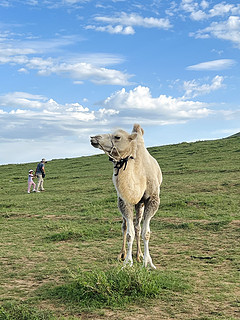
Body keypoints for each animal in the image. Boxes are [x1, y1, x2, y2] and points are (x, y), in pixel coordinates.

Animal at [91, 124, 162, 268]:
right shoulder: (124, 201)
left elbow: (145, 232)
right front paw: (128, 262)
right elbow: (129, 233)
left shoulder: (152, 200)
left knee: (138, 227)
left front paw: (148, 262)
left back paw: (139, 255)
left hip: (140, 204)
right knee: (125, 226)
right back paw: (122, 254)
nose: (94, 138)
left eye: (117, 137)